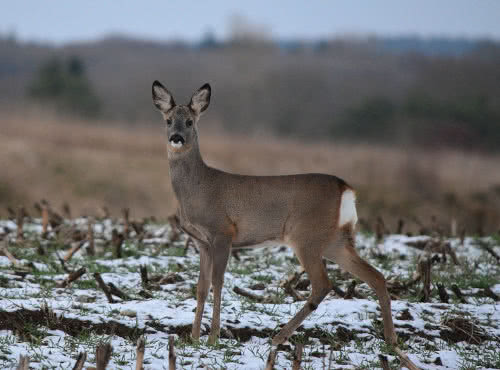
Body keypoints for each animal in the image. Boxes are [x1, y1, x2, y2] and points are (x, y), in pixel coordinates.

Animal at [150, 81, 420, 370]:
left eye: (190, 121)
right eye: (168, 120)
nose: (176, 138)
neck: (198, 188)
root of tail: (346, 188)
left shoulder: (223, 232)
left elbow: (217, 282)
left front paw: (212, 338)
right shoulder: (202, 241)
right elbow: (200, 287)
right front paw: (193, 337)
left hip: (306, 237)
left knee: (323, 284)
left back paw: (279, 337)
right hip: (334, 241)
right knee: (376, 276)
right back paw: (392, 342)